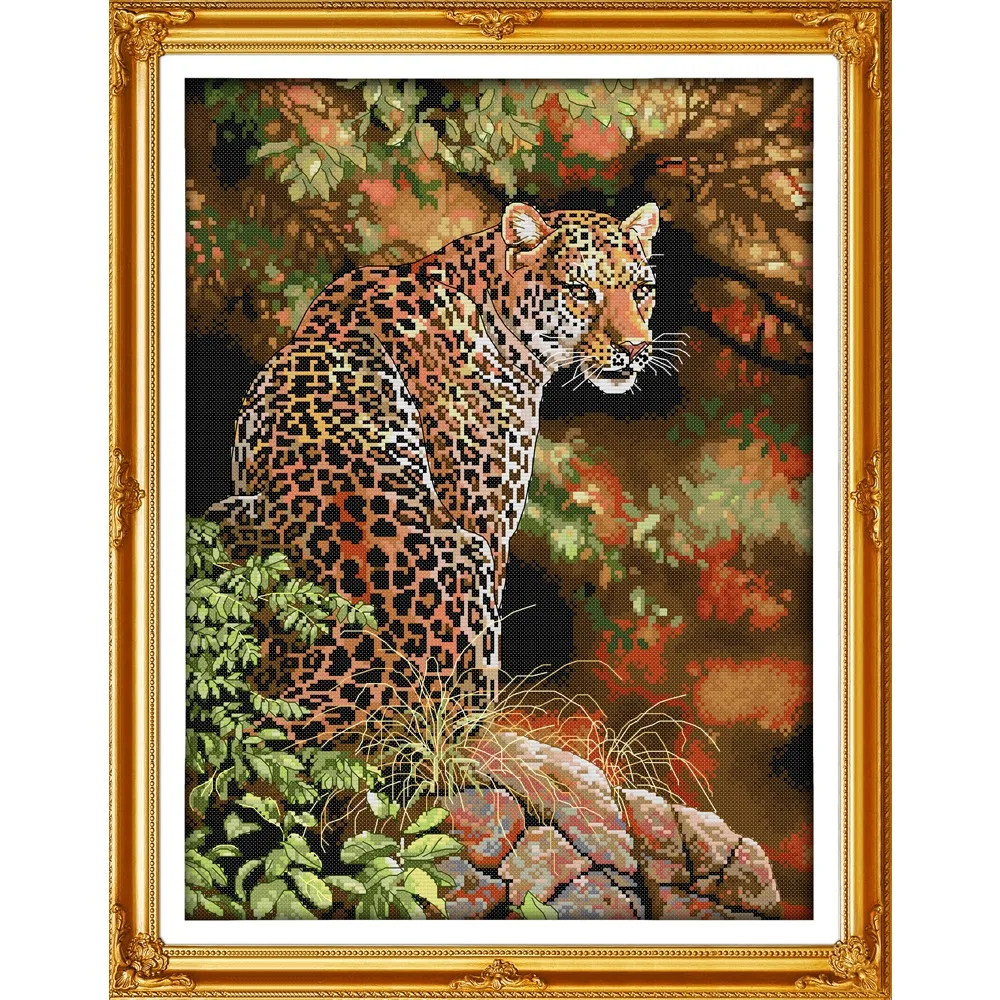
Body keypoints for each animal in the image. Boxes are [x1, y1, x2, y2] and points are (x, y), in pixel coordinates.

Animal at [207, 201, 669, 741]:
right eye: (581, 291)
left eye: (642, 289)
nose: (636, 347)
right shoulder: (487, 523)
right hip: (468, 566)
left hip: (225, 513)